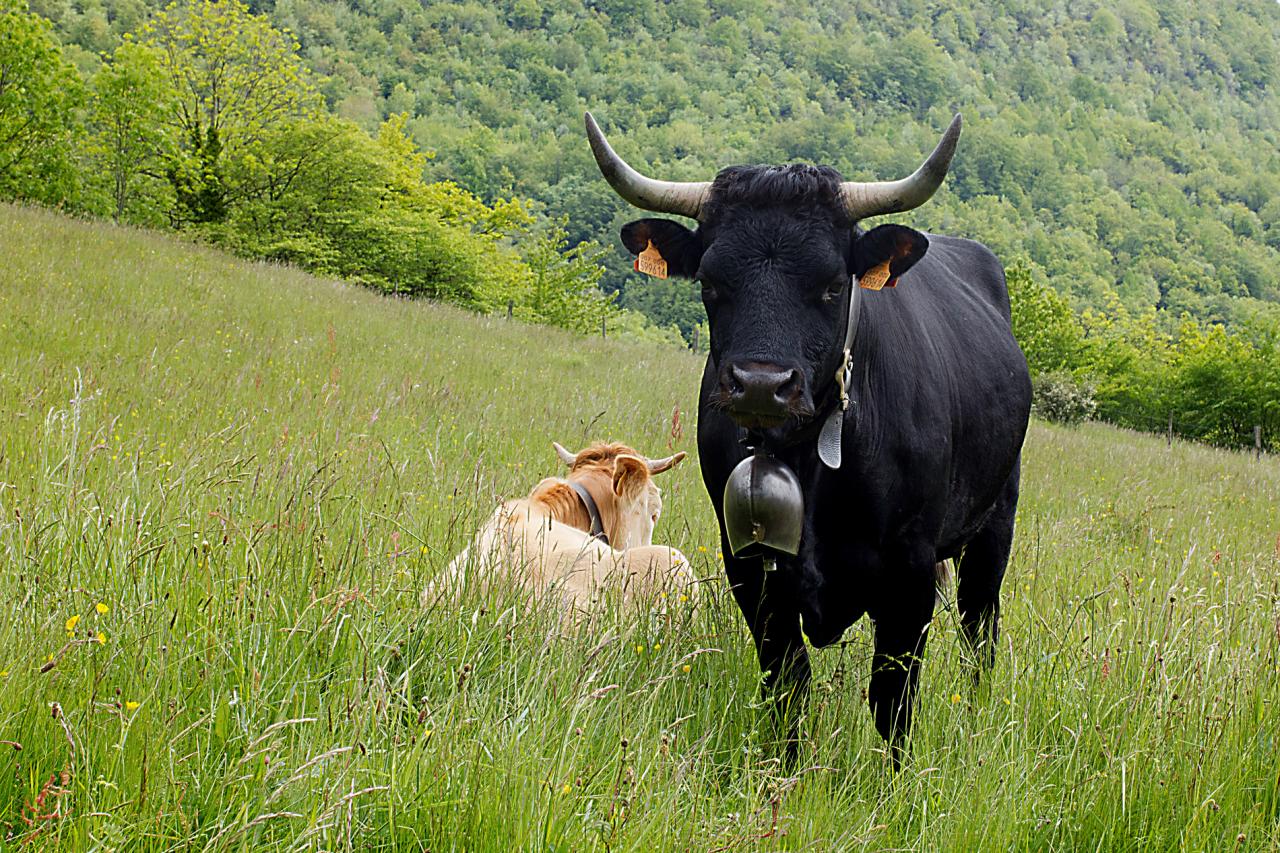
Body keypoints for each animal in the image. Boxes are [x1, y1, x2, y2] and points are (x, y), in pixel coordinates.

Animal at [586, 111, 1034, 758]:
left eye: (831, 284)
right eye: (711, 283)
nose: (760, 385)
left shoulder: (911, 574)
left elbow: (893, 700)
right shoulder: (749, 565)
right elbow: (786, 681)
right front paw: (782, 766)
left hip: (996, 525)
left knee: (981, 631)